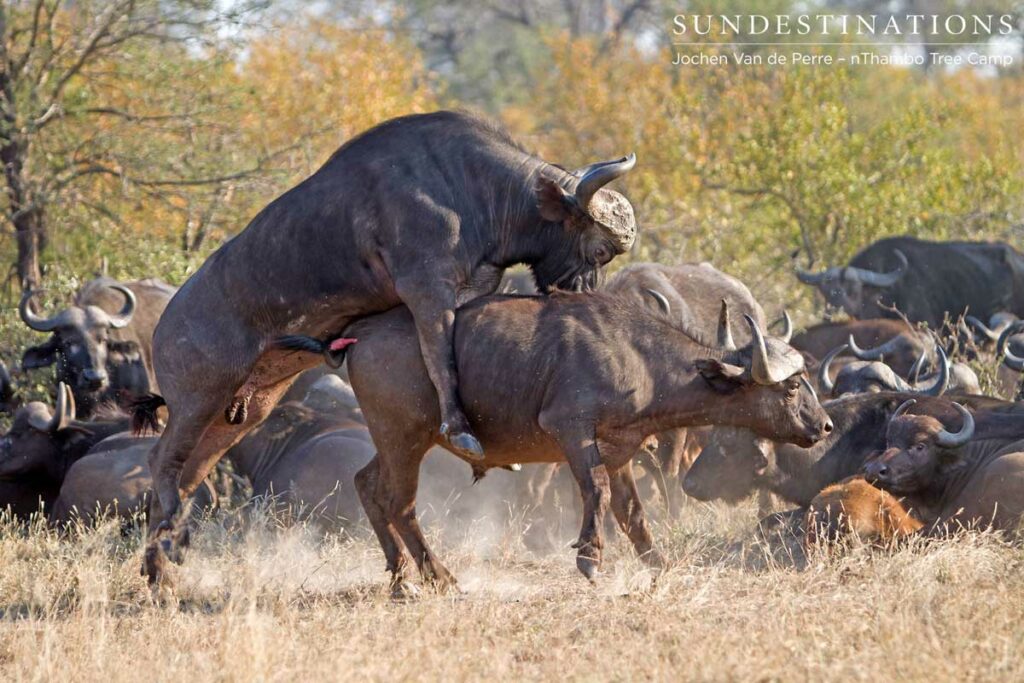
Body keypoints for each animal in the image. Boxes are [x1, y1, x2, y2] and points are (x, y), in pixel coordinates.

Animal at [136, 111, 638, 585]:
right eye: (599, 251)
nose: (584, 294)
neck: (473, 188)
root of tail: (164, 326)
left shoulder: (471, 290)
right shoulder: (427, 290)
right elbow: (441, 360)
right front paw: (461, 429)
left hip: (243, 412)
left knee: (187, 477)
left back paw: (161, 570)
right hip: (197, 401)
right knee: (161, 463)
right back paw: (164, 553)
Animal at [325, 291, 832, 596]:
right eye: (792, 386)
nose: (825, 426)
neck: (638, 358)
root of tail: (358, 335)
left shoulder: (621, 450)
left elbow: (632, 513)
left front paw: (657, 564)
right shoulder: (571, 430)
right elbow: (596, 491)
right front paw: (590, 558)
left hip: (395, 441)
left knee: (367, 484)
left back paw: (399, 578)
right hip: (404, 438)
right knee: (400, 503)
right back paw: (439, 576)